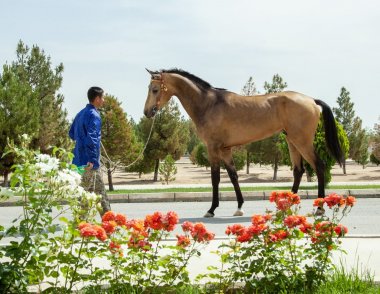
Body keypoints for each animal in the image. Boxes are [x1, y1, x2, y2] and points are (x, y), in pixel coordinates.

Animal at [143, 68, 344, 217]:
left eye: (155, 90)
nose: (147, 112)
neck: (208, 104)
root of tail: (312, 100)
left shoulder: (213, 148)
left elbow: (215, 178)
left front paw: (211, 209)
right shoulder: (225, 150)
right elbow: (233, 176)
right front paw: (239, 207)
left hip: (302, 142)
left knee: (319, 166)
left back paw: (320, 208)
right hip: (292, 141)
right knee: (298, 171)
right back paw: (286, 206)